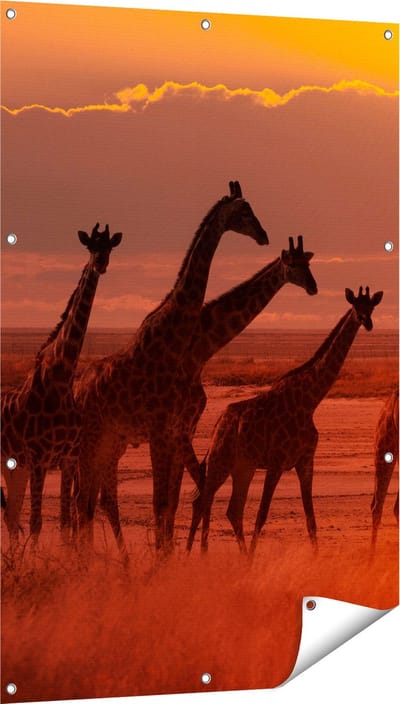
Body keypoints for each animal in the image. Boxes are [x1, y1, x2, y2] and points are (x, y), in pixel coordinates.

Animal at [1, 224, 122, 547]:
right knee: (13, 516)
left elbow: (66, 522)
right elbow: (37, 522)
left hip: (15, 466)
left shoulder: (67, 459)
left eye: (109, 246)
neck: (62, 374)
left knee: (11, 516)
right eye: (90, 246)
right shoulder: (39, 458)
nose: (100, 263)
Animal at [72, 182, 268, 556]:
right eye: (244, 210)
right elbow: (161, 503)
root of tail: (76, 389)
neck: (176, 337)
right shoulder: (161, 430)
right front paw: (163, 560)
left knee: (88, 499)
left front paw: (169, 557)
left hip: (108, 440)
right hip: (91, 440)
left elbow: (170, 503)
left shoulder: (176, 429)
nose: (264, 236)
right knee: (83, 498)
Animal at [97, 235, 318, 552]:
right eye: (295, 266)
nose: (313, 287)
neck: (200, 348)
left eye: (308, 263)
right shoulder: (177, 427)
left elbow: (183, 494)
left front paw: (183, 550)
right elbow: (191, 492)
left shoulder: (185, 425)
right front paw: (188, 551)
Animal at [188, 286, 383, 554]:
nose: (368, 322)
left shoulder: (305, 461)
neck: (310, 401)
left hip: (243, 467)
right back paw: (193, 555)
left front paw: (315, 557)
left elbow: (310, 518)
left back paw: (235, 555)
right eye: (356, 305)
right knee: (202, 501)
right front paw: (253, 559)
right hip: (221, 461)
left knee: (232, 510)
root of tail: (219, 424)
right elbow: (261, 515)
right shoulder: (277, 462)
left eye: (371, 306)